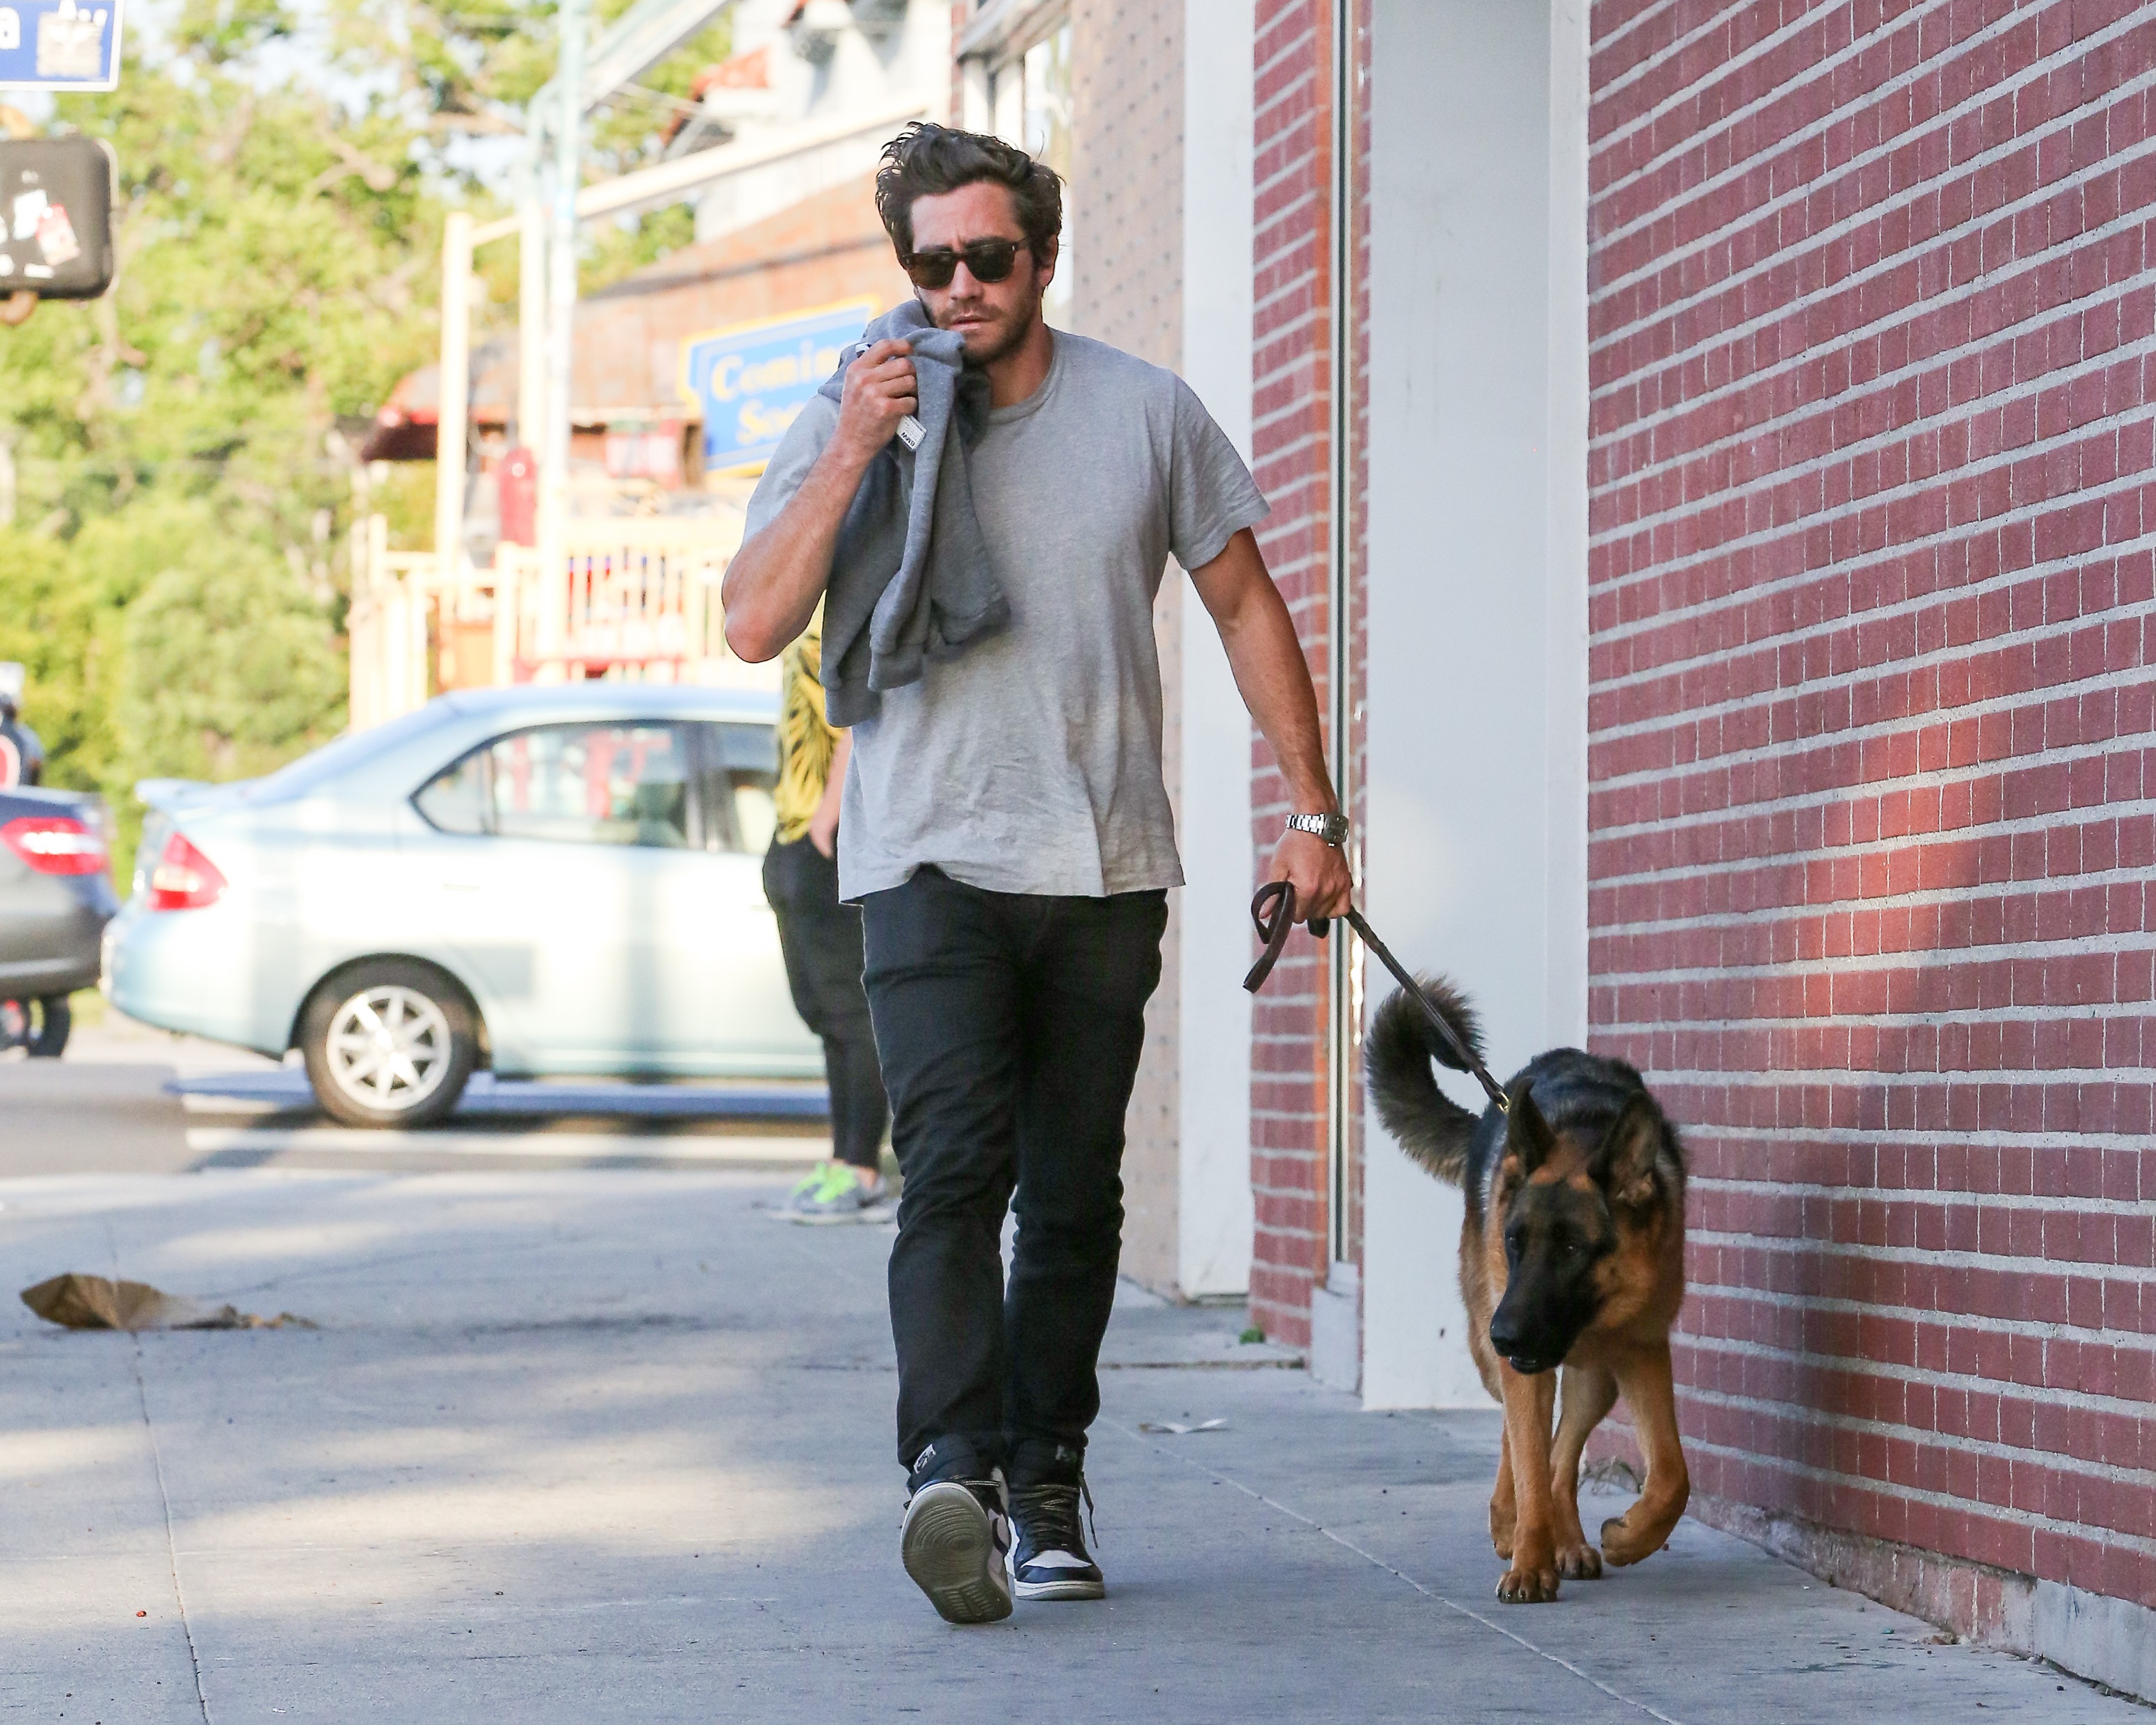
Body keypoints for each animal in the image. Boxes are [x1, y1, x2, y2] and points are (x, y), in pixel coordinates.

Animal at [1371, 979, 1690, 1596]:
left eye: (1571, 1249)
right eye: (1515, 1240)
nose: (1507, 1334)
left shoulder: (1642, 1348)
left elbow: (1670, 1473)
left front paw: (1630, 1537)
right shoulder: (1524, 1358)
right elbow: (1527, 1457)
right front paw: (1528, 1563)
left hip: (1593, 1376)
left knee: (1560, 1455)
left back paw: (1567, 1541)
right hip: (1495, 1350)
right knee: (1523, 1443)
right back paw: (1509, 1521)